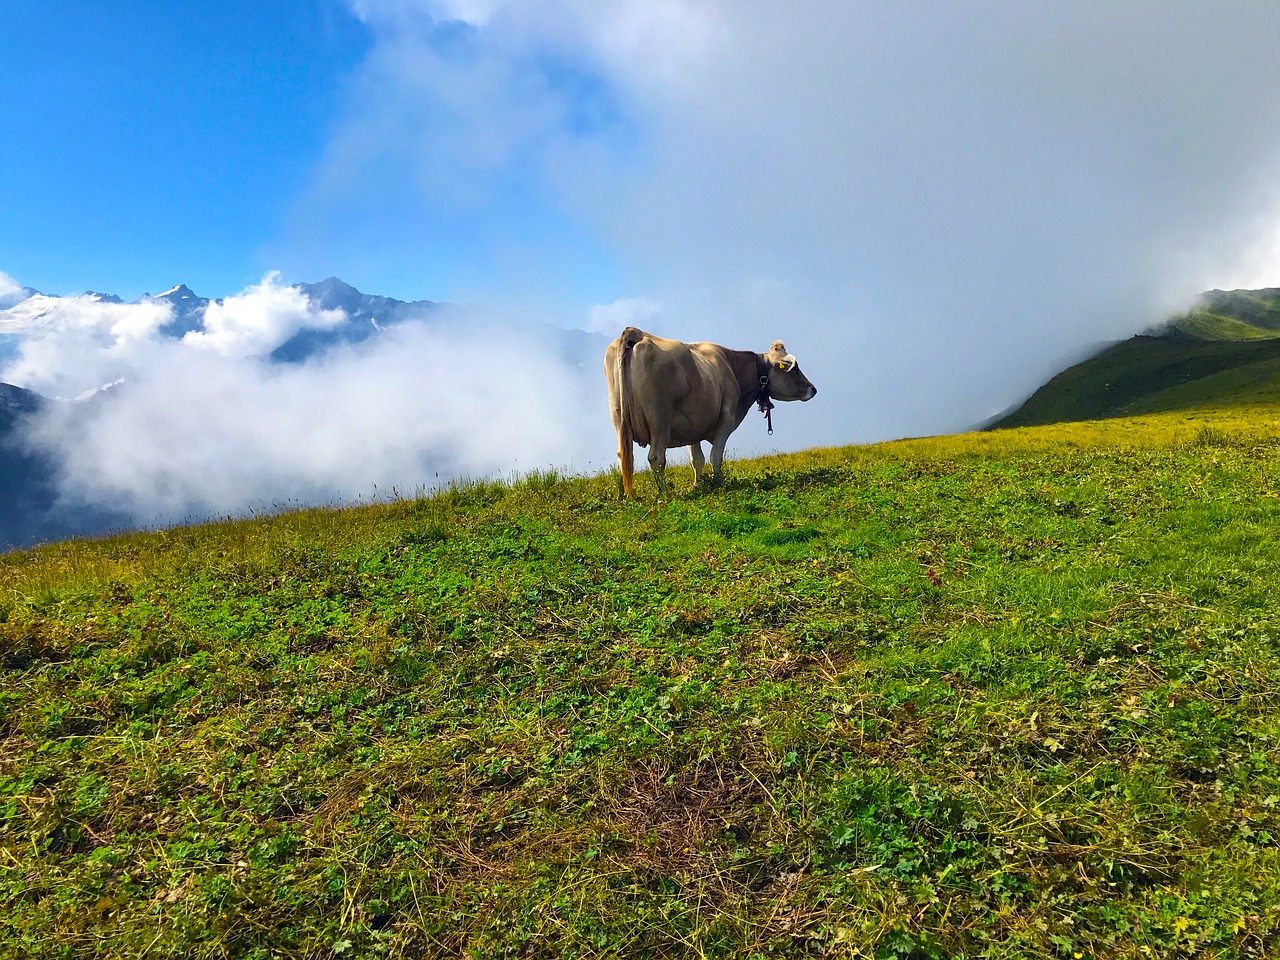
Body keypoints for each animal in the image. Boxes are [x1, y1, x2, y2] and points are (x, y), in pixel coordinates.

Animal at [601, 330, 819, 499]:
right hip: (659, 420)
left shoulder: (691, 426)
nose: (813, 389)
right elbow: (716, 456)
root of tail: (634, 333)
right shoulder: (726, 420)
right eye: (794, 369)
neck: (731, 367)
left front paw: (698, 486)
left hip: (619, 418)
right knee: (656, 457)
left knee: (625, 457)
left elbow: (697, 459)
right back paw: (665, 493)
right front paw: (717, 484)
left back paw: (630, 496)